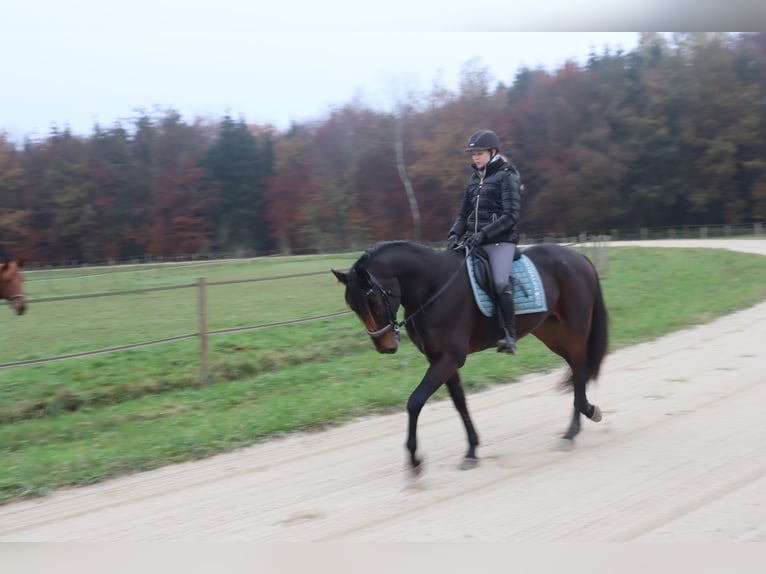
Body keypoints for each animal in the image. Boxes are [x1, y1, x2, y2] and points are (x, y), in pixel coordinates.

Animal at [332, 241, 608, 474]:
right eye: (354, 306)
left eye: (374, 301)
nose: (385, 346)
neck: (433, 287)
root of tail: (578, 256)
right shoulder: (441, 360)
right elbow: (460, 403)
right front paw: (472, 450)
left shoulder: (449, 359)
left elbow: (415, 402)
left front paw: (414, 459)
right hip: (550, 332)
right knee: (576, 370)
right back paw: (583, 415)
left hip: (575, 330)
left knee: (579, 370)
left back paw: (573, 430)